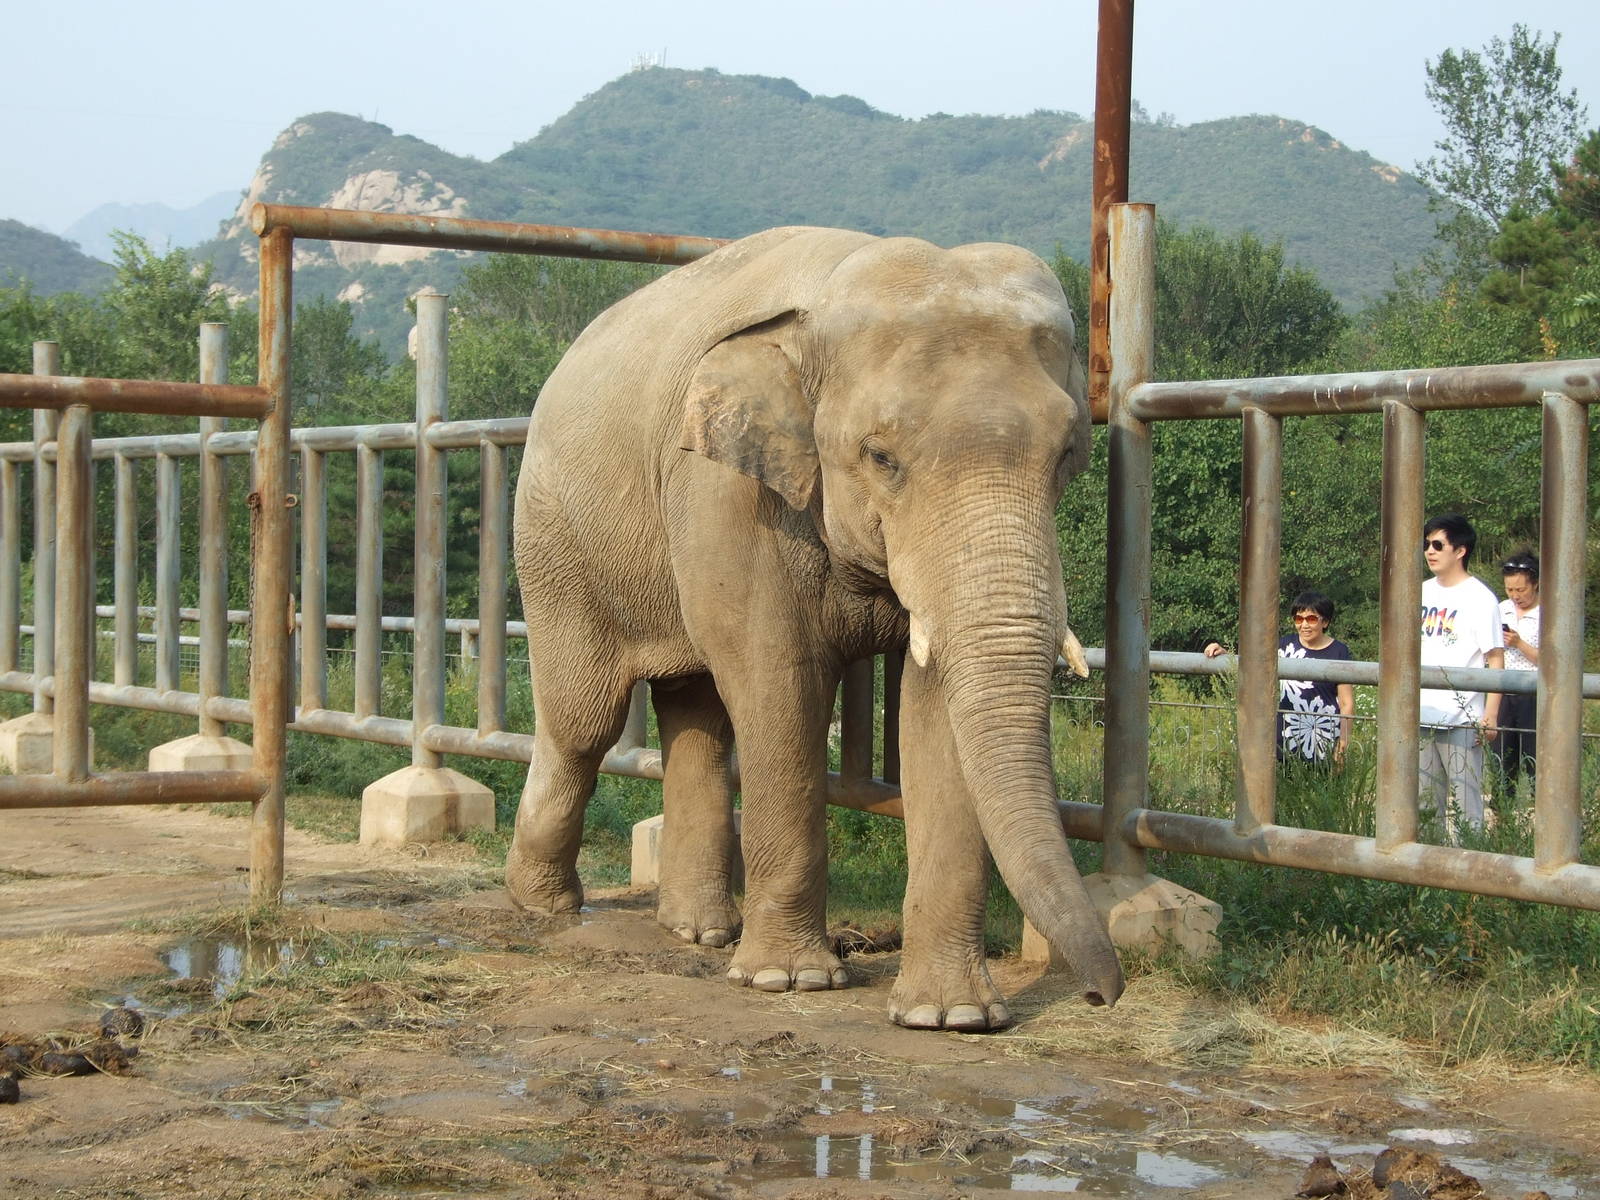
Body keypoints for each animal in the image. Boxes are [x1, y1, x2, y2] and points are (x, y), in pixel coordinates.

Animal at [506, 225, 1124, 1030]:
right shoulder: (733, 492)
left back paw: (699, 931)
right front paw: (788, 981)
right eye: (881, 457)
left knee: (695, 710)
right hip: (555, 543)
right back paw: (545, 905)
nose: (1102, 993)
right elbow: (779, 684)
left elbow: (934, 715)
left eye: (1067, 455)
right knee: (585, 721)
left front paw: (951, 1017)